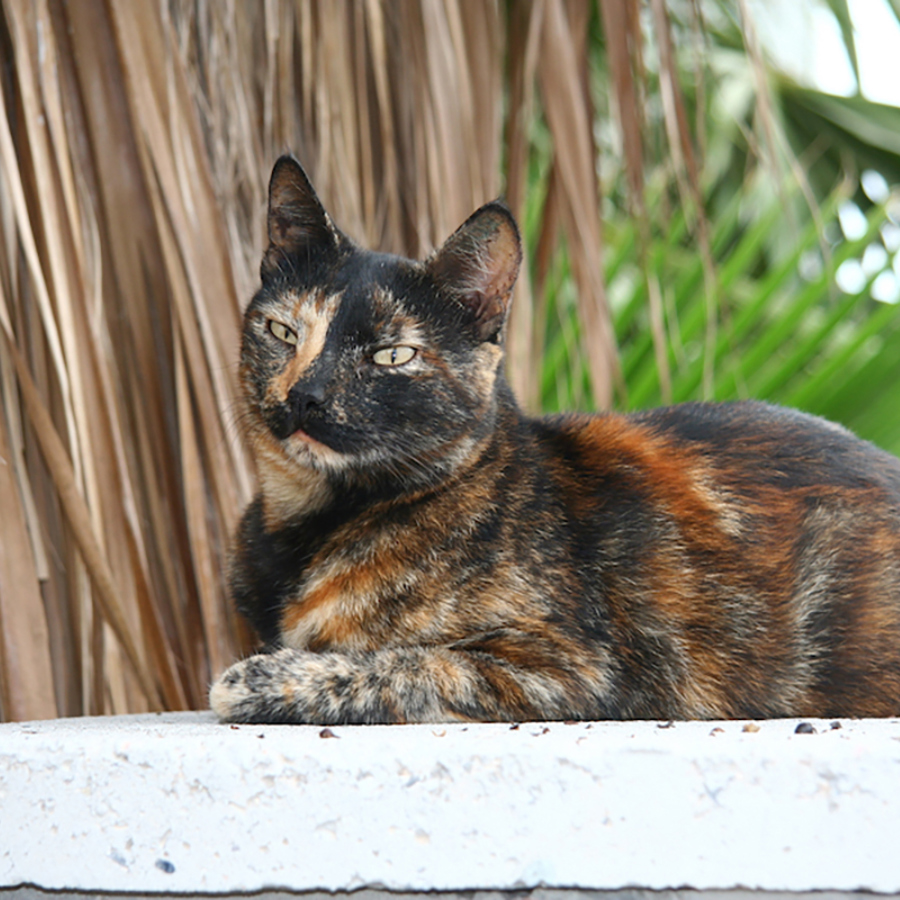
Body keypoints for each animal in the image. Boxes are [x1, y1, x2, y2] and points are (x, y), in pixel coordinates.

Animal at [207, 156, 900, 724]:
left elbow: (403, 663)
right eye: (283, 332)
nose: (305, 395)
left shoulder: (574, 668)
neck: (308, 527)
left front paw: (259, 678)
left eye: (392, 355)